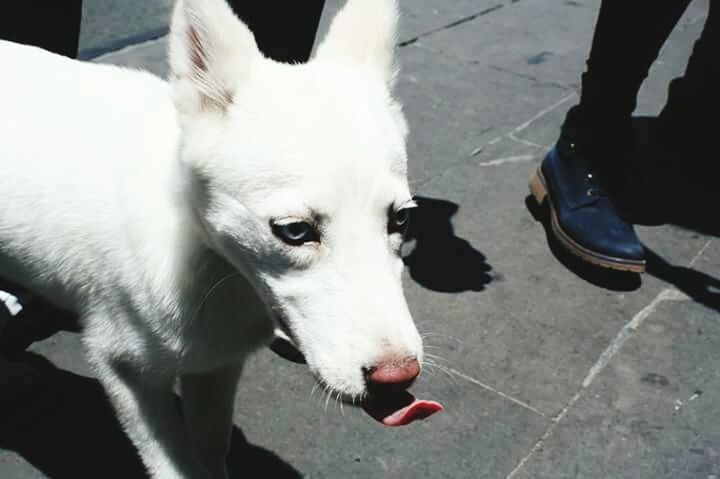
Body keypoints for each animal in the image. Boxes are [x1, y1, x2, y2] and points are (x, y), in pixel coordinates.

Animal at [0, 0, 442, 478]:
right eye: (295, 230)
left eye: (400, 220)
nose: (397, 378)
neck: (208, 259)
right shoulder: (125, 371)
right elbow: (175, 464)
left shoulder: (215, 363)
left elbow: (211, 447)